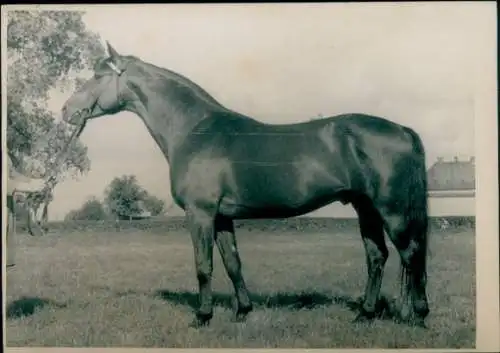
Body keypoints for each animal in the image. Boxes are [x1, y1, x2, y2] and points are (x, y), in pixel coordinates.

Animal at [61, 41, 430, 328]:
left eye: (98, 76)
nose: (67, 111)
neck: (194, 130)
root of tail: (402, 130)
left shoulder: (200, 214)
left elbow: (204, 265)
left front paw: (203, 316)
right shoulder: (223, 217)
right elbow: (233, 263)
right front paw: (243, 312)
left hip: (392, 210)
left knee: (411, 254)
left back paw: (419, 315)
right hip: (365, 208)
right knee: (377, 256)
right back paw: (364, 315)